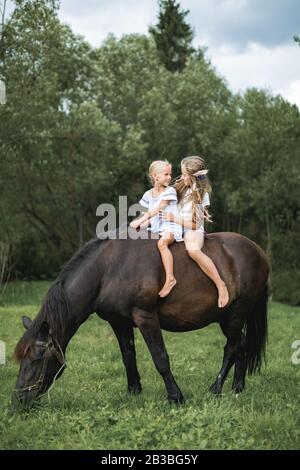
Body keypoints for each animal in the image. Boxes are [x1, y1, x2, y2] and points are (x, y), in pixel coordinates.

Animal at [13, 231, 270, 408]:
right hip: (226, 318)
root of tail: (259, 252)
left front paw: (176, 397)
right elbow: (128, 356)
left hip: (236, 314)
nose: (19, 400)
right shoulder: (119, 322)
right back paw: (237, 388)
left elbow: (160, 358)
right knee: (241, 345)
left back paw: (216, 389)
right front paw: (133, 391)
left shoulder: (146, 317)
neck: (108, 269)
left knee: (231, 348)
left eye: (37, 358)